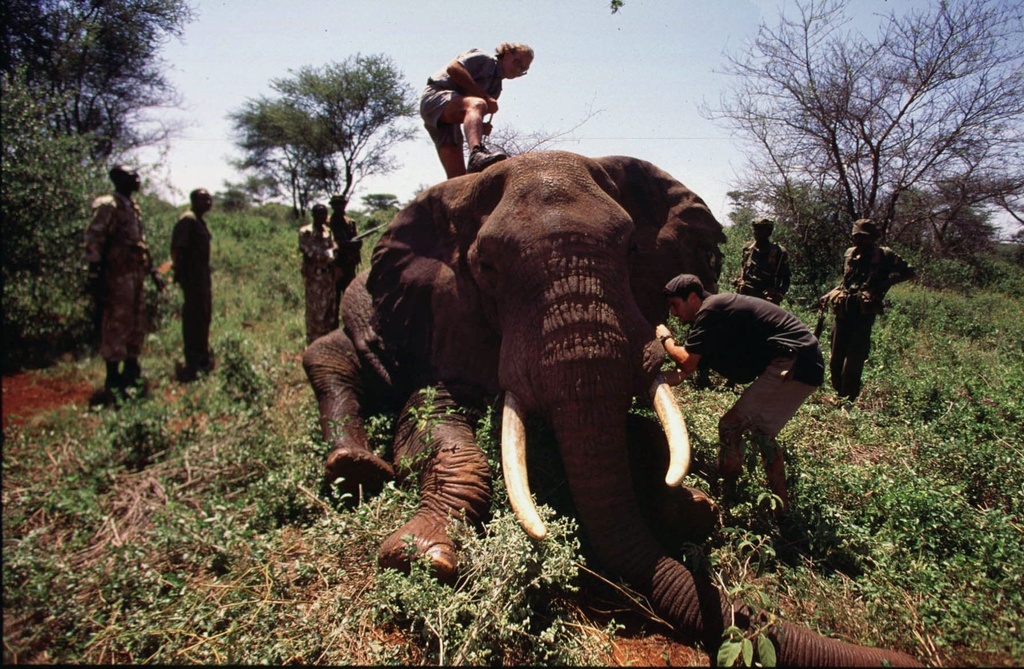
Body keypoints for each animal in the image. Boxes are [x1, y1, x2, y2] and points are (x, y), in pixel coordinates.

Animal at [302, 151, 921, 667]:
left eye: (631, 252)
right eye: (490, 271)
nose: (901, 660)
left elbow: (635, 430)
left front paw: (694, 510)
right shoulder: (447, 321)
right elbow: (431, 422)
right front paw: (422, 557)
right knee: (328, 359)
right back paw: (354, 468)